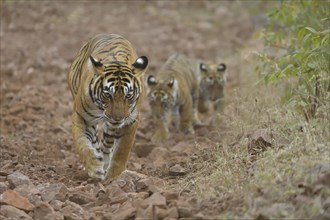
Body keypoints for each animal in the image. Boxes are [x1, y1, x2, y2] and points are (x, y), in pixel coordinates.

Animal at [67, 33, 148, 183]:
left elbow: (122, 150)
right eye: (107, 94)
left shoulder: (131, 120)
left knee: (106, 145)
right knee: (94, 141)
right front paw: (94, 167)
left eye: (128, 95)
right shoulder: (81, 116)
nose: (117, 118)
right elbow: (82, 144)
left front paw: (114, 176)